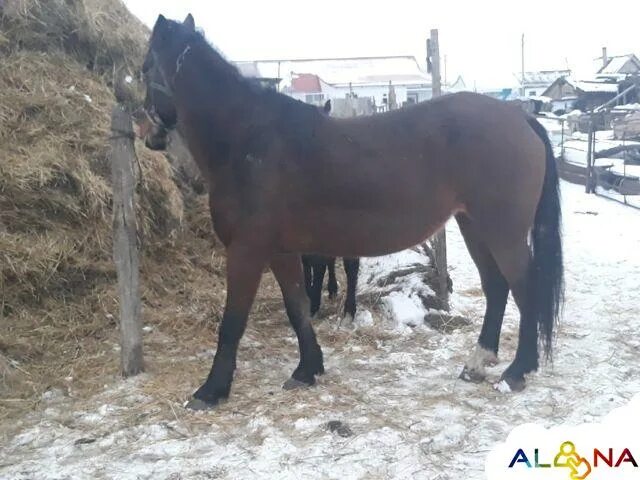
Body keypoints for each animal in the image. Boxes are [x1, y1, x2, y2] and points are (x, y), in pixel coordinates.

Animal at [142, 14, 564, 408]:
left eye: (145, 67)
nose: (150, 134)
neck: (249, 142)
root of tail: (519, 116)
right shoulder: (280, 251)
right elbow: (297, 307)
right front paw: (308, 369)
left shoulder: (247, 250)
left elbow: (232, 321)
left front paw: (211, 390)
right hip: (474, 225)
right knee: (497, 287)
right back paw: (477, 362)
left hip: (502, 231)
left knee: (524, 287)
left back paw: (517, 370)